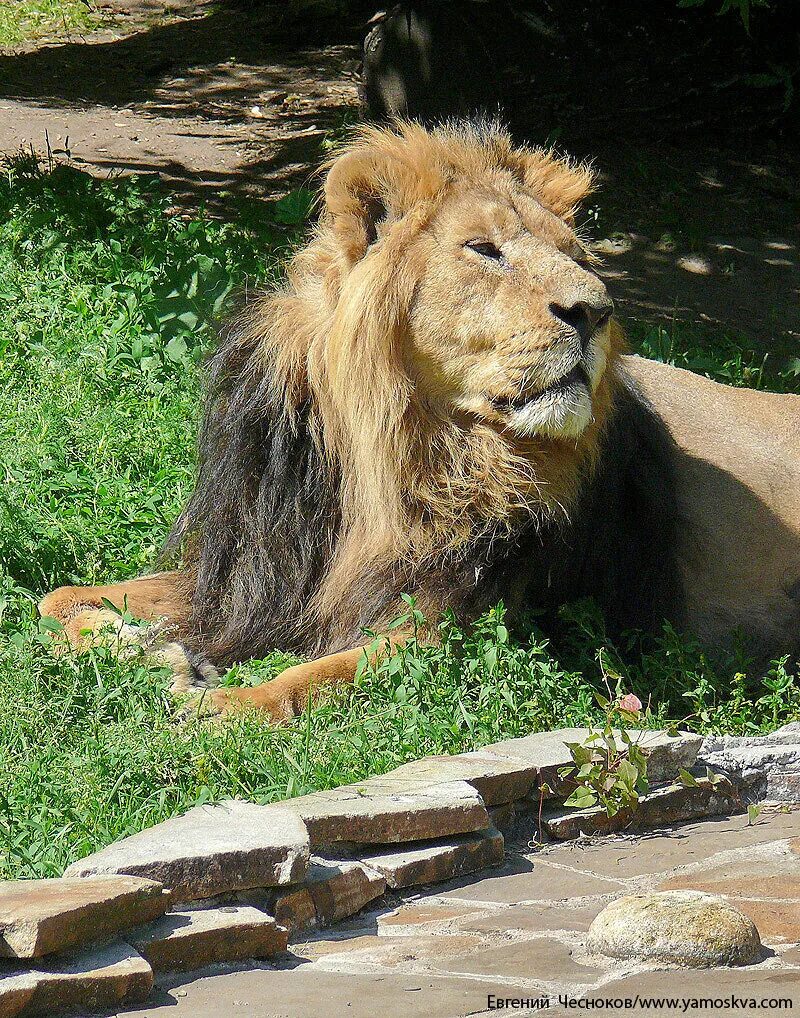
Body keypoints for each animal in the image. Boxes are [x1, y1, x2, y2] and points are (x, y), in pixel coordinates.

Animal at [40, 121, 797, 716]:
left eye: (577, 258)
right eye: (484, 250)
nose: (595, 311)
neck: (392, 452)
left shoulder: (452, 620)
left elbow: (309, 679)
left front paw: (217, 700)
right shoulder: (253, 580)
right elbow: (58, 599)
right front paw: (151, 648)